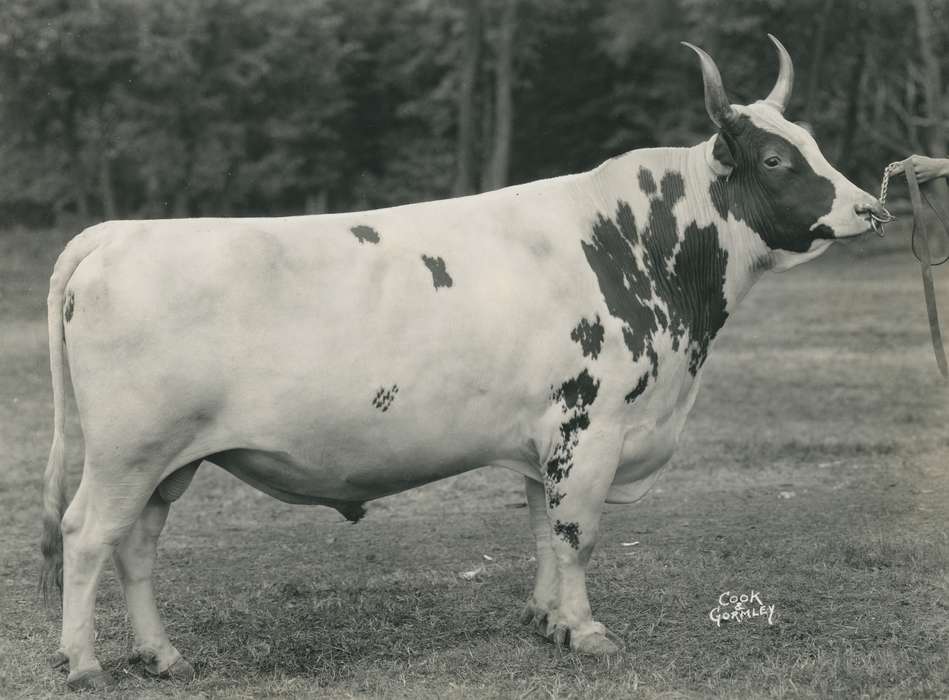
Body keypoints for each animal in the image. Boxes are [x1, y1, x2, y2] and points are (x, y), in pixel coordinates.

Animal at [40, 36, 889, 690]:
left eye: (810, 143)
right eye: (775, 158)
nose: (871, 208)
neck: (639, 248)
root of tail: (118, 232)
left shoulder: (544, 434)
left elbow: (541, 528)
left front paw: (546, 619)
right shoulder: (591, 426)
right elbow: (577, 533)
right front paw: (586, 631)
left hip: (169, 459)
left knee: (138, 545)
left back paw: (161, 654)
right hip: (127, 450)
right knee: (87, 535)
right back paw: (83, 662)